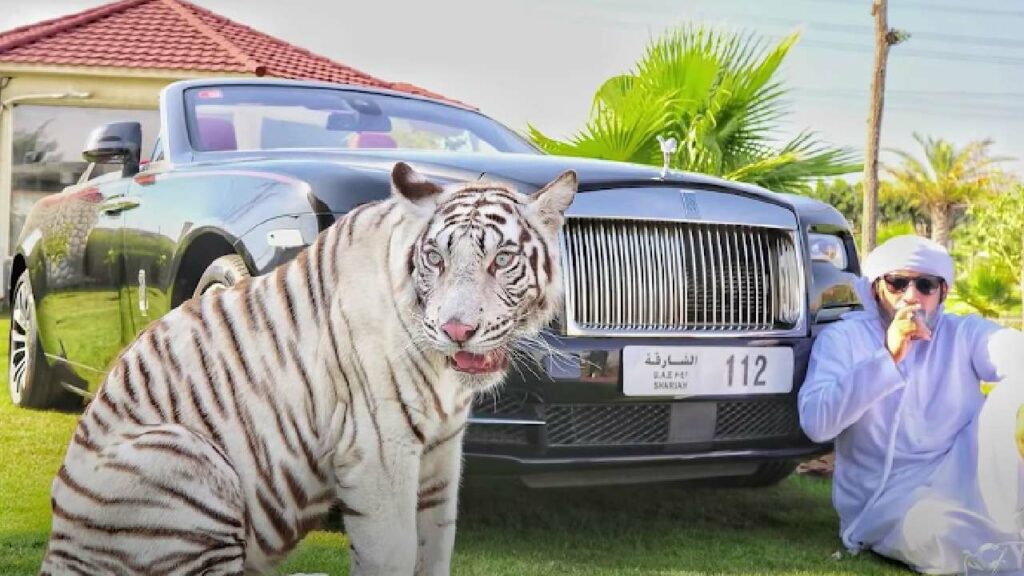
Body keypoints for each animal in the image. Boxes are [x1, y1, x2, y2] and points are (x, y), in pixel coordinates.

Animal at [41, 162, 577, 573]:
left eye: (502, 260)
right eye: (434, 259)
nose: (457, 330)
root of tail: (58, 544)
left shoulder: (441, 459)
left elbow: (434, 553)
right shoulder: (380, 453)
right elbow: (393, 556)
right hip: (187, 458)